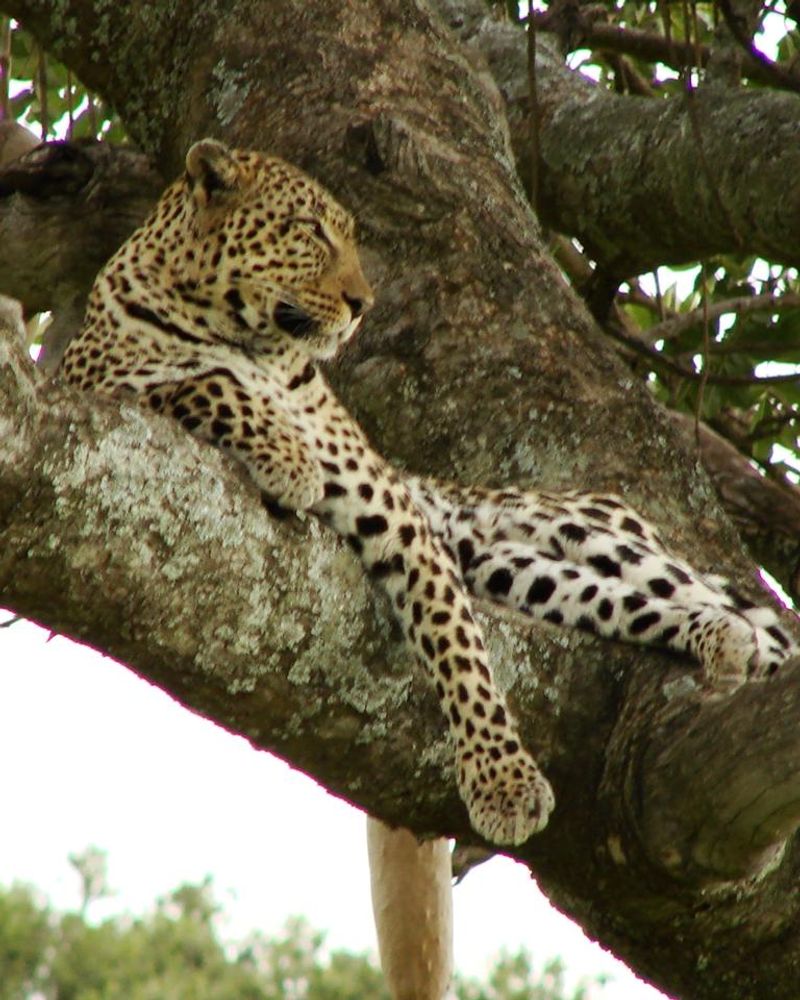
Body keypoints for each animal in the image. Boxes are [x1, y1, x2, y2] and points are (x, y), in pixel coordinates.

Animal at [61, 137, 795, 849]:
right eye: (309, 231)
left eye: (348, 239)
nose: (362, 305)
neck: (250, 339)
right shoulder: (100, 380)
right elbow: (204, 381)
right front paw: (288, 454)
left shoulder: (396, 516)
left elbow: (457, 645)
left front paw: (504, 785)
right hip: (515, 569)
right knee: (631, 604)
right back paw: (723, 641)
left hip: (594, 536)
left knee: (727, 611)